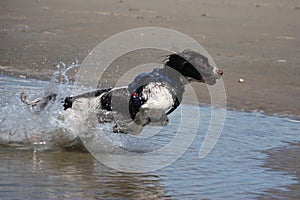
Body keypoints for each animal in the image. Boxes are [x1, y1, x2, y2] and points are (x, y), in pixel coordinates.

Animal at [21, 49, 223, 135]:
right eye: (203, 62)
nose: (220, 71)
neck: (167, 82)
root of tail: (69, 99)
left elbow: (151, 123)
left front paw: (122, 128)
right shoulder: (148, 105)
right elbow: (148, 120)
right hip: (73, 120)